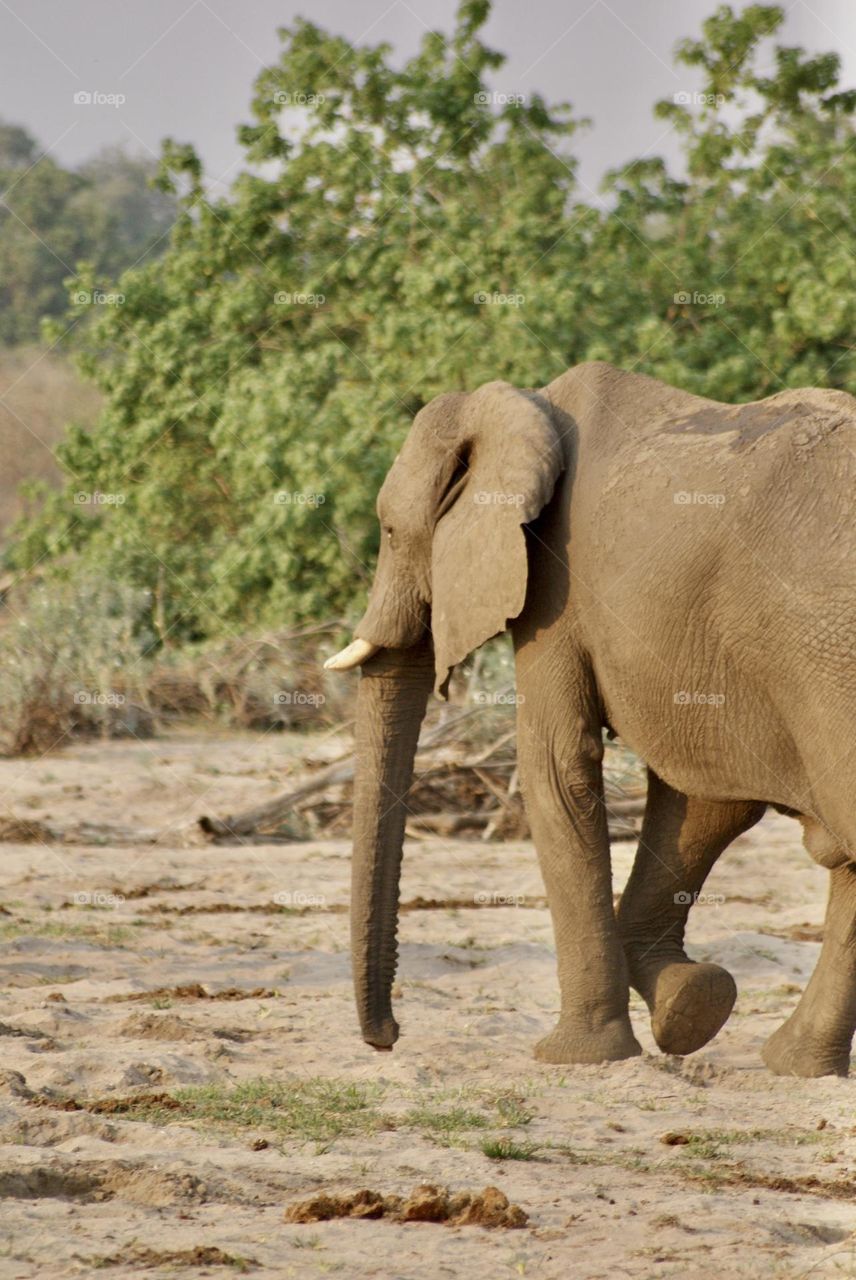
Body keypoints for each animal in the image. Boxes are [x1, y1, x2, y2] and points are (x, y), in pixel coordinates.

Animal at [324, 360, 856, 1077]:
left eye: (386, 531)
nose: (388, 1037)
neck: (526, 404)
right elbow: (704, 800)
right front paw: (692, 1003)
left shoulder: (556, 584)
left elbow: (556, 767)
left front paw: (575, 1058)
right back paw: (795, 1065)